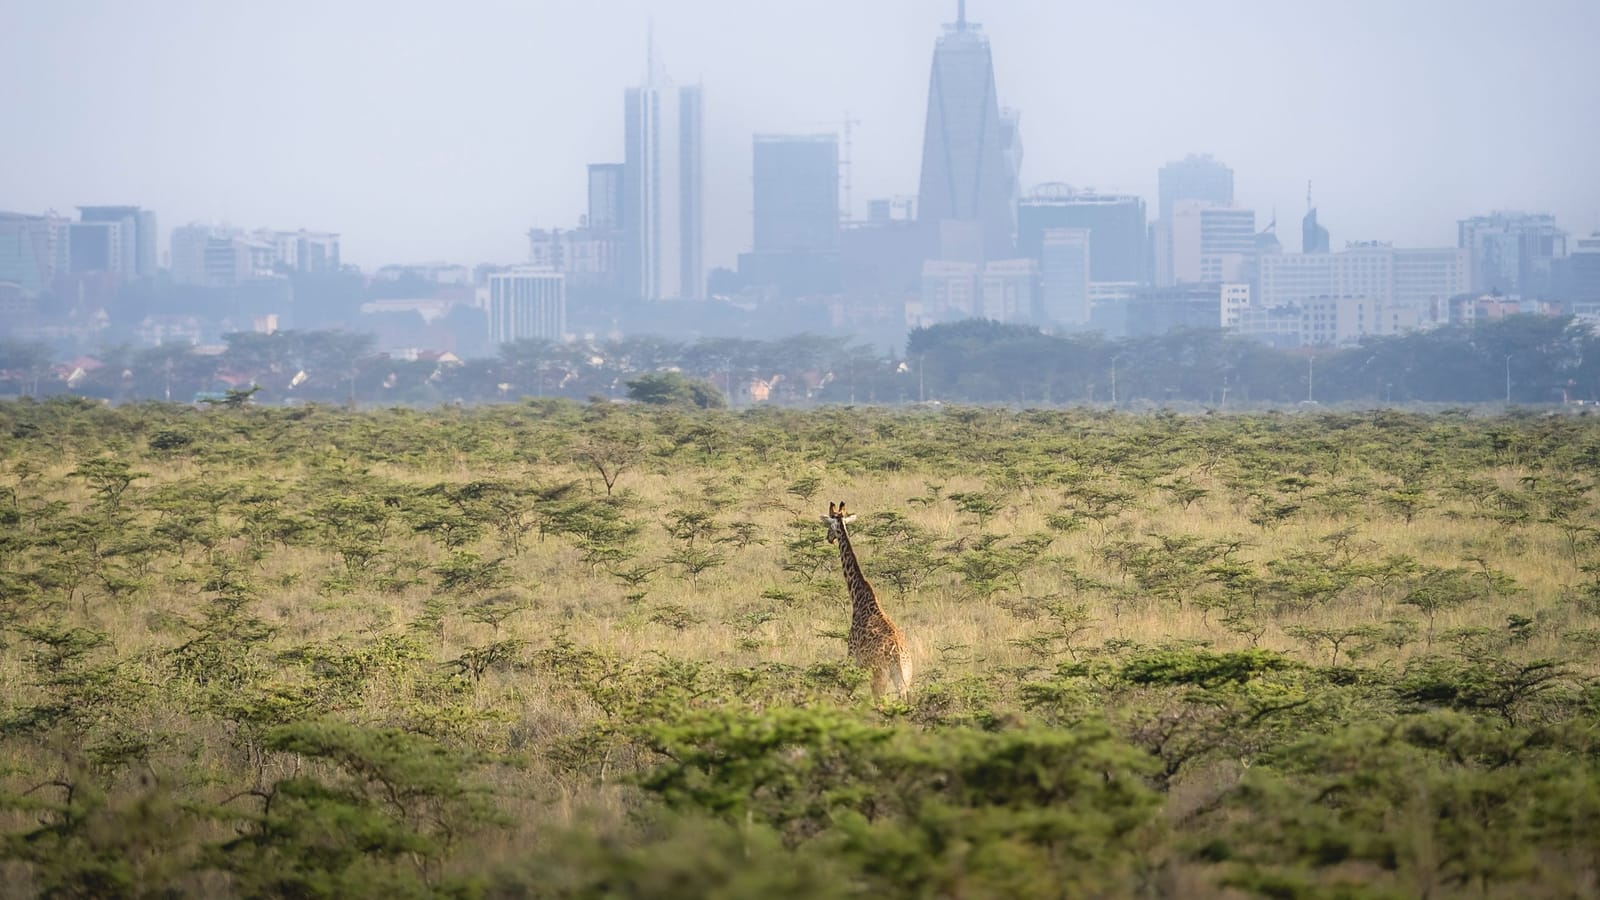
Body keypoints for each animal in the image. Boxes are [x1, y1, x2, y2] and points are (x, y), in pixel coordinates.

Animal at [821, 501, 912, 701]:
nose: (828, 538)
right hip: (905, 680)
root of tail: (898, 656)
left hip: (879, 678)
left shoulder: (852, 656)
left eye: (829, 526)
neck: (859, 597)